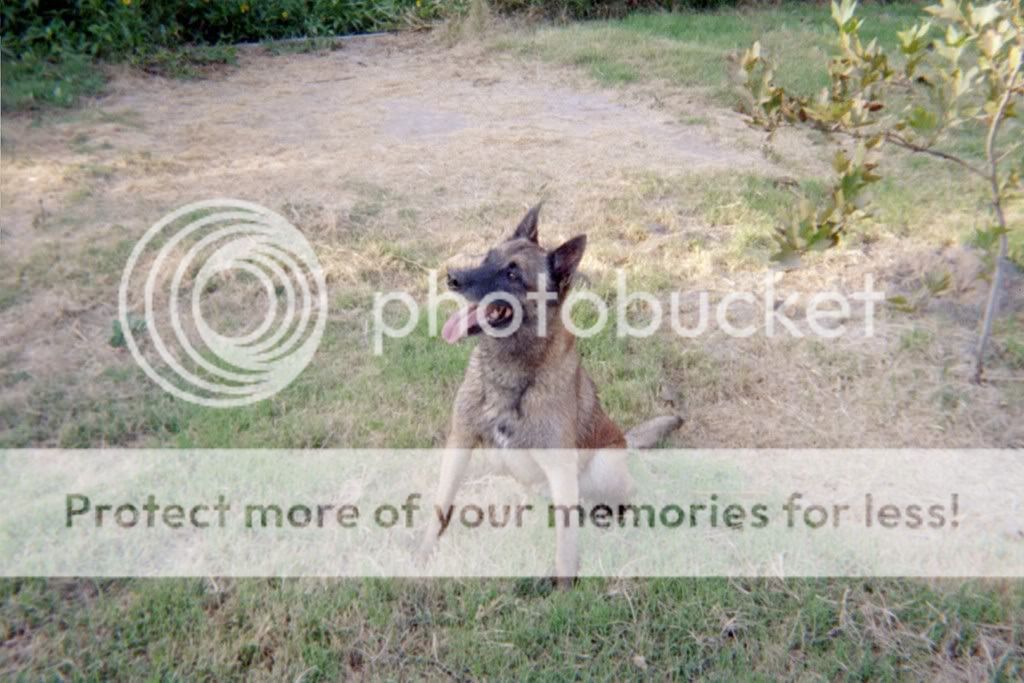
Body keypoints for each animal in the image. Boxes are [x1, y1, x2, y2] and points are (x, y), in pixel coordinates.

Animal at [418, 204, 682, 586]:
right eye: (487, 257)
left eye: (513, 274)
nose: (452, 277)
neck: (513, 374)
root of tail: (625, 442)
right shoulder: (461, 441)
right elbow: (441, 507)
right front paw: (423, 554)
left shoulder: (560, 466)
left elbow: (565, 542)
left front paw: (565, 586)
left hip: (602, 467)